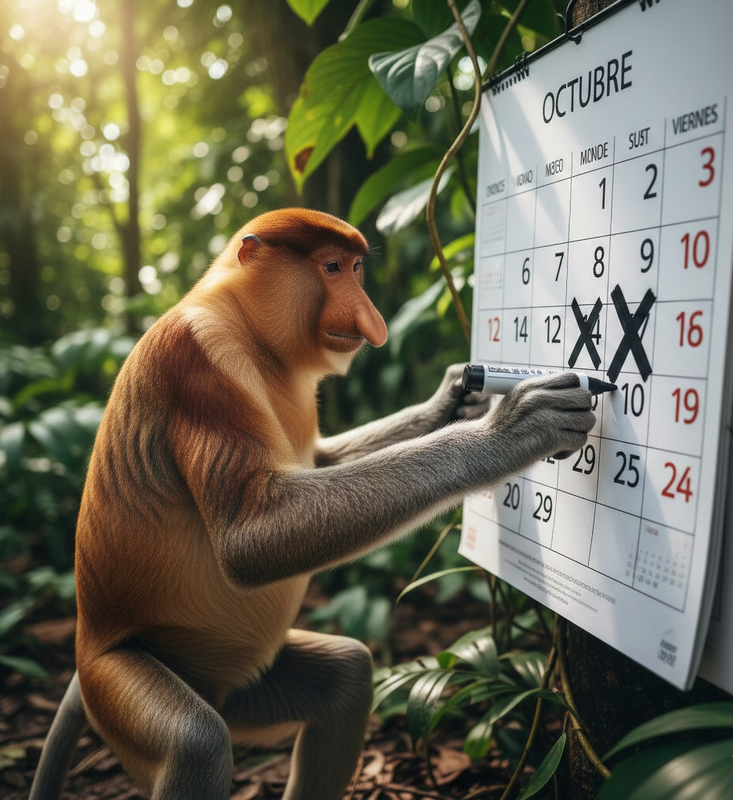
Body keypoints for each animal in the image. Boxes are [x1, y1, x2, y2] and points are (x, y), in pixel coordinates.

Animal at [29, 208, 594, 800]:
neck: (254, 336)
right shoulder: (198, 364)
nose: (375, 323)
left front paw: (458, 397)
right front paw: (513, 428)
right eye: (331, 268)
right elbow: (248, 536)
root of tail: (85, 648)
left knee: (347, 675)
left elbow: (319, 462)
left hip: (249, 690)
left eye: (356, 267)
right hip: (117, 684)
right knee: (196, 742)